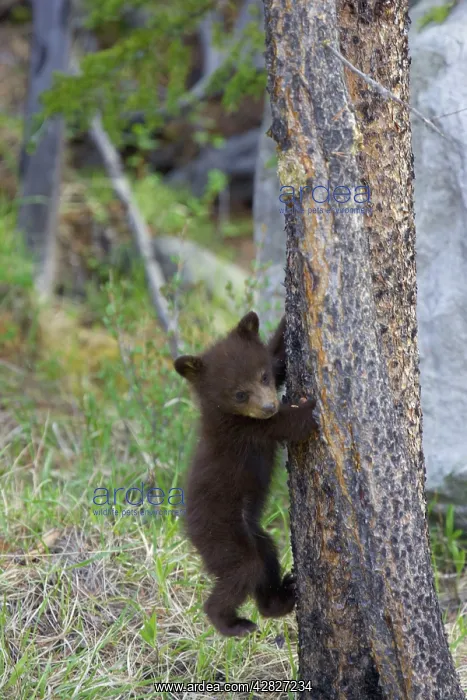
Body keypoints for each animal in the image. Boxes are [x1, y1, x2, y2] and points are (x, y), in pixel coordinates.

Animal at [174, 311, 318, 637]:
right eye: (240, 394)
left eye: (262, 377)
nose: (268, 405)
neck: (222, 411)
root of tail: (190, 528)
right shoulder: (246, 430)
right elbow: (288, 425)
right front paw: (307, 408)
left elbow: (278, 357)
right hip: (221, 535)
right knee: (243, 571)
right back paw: (232, 623)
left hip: (253, 533)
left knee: (266, 556)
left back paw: (279, 599)